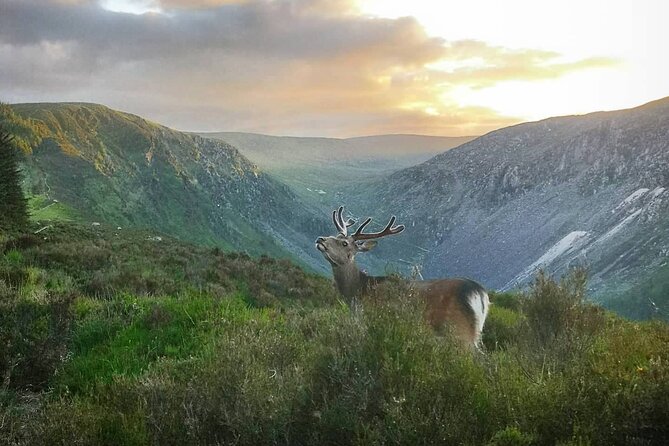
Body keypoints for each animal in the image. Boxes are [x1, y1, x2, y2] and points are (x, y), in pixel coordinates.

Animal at [316, 206, 488, 348]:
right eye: (334, 235)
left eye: (344, 243)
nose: (320, 239)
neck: (357, 291)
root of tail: (480, 294)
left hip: (460, 331)